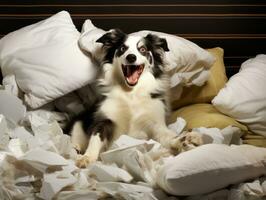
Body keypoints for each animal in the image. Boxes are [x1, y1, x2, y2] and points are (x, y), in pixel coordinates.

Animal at [68, 28, 185, 168]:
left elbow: (167, 135)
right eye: (123, 48)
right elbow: (95, 138)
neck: (131, 93)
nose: (131, 57)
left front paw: (181, 141)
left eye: (143, 49)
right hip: (77, 123)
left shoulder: (156, 124)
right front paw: (87, 157)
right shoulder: (104, 120)